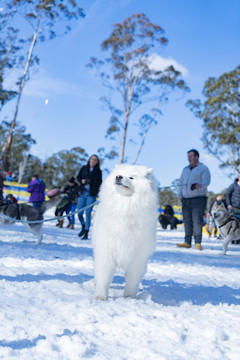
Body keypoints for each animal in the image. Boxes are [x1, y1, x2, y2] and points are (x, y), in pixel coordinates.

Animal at [92, 165, 159, 300]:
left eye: (131, 177)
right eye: (119, 174)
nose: (118, 177)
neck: (126, 205)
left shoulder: (137, 258)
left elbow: (132, 280)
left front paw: (129, 297)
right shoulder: (106, 251)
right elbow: (103, 277)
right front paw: (100, 296)